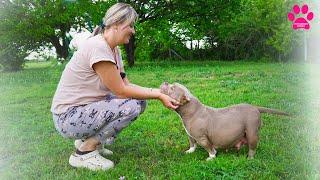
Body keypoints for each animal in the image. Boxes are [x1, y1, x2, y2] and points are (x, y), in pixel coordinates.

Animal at [160, 82, 290, 160]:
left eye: (172, 88)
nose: (165, 82)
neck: (191, 110)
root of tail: (255, 107)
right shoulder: (190, 135)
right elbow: (192, 143)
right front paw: (190, 151)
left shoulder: (202, 138)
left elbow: (209, 148)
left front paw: (211, 157)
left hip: (252, 131)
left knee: (253, 147)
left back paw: (249, 158)